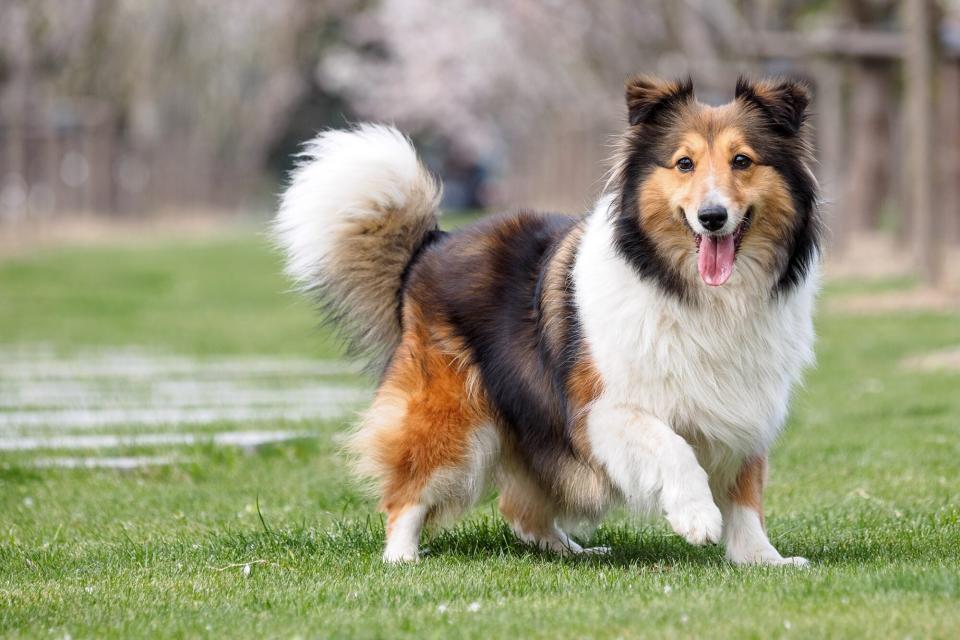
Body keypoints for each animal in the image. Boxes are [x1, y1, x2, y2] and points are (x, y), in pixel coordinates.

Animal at [274, 76, 820, 564]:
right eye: (684, 163)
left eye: (742, 161)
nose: (712, 217)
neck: (691, 291)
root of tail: (431, 244)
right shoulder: (602, 411)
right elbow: (673, 446)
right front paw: (696, 515)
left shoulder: (743, 407)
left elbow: (746, 496)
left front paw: (763, 560)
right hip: (453, 417)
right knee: (407, 491)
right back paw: (401, 557)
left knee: (520, 509)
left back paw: (573, 550)